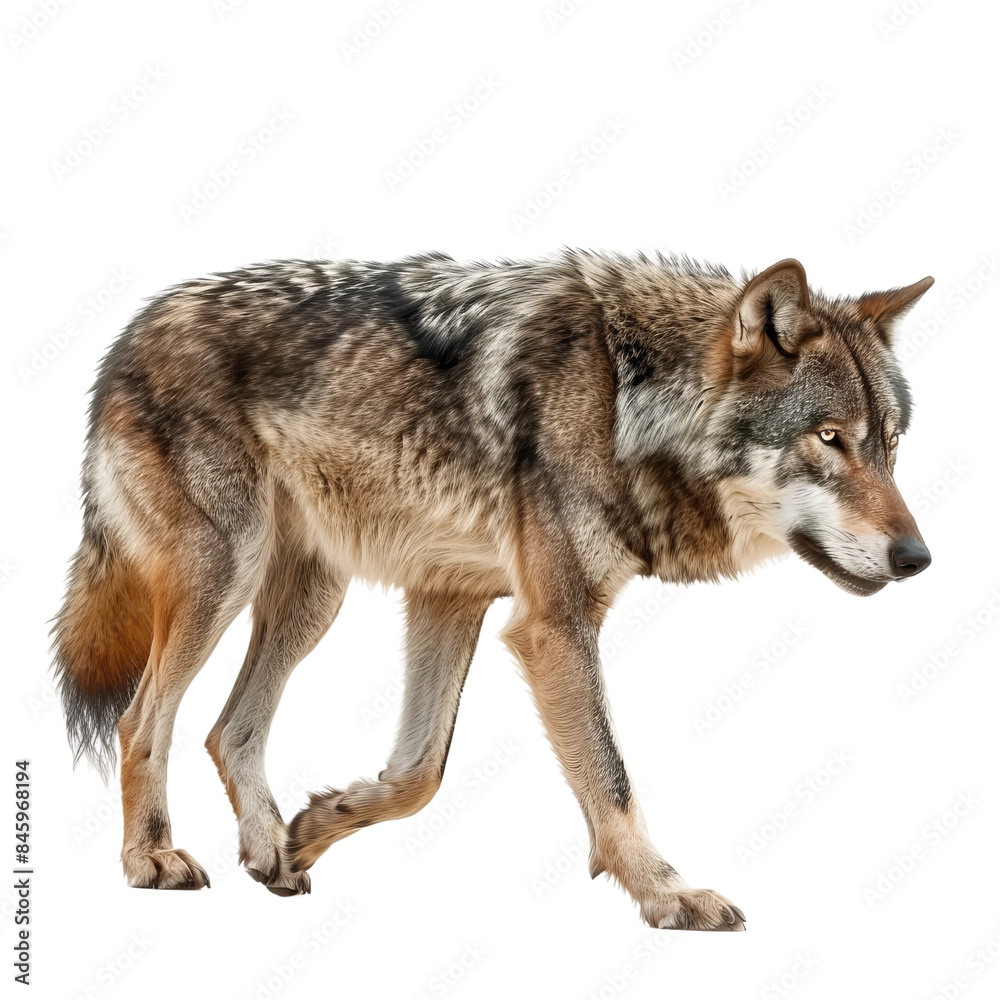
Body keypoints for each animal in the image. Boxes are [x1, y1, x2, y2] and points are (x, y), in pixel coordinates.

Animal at [52, 251, 933, 930]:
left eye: (889, 446)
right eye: (829, 438)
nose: (918, 557)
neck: (622, 399)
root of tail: (131, 329)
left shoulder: (451, 596)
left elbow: (419, 774)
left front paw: (317, 826)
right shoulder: (554, 625)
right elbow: (610, 779)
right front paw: (668, 896)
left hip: (311, 602)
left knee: (227, 729)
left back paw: (270, 848)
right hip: (224, 578)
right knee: (142, 720)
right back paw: (152, 857)